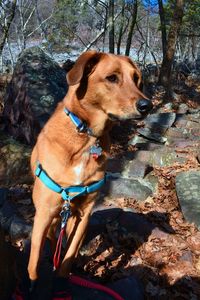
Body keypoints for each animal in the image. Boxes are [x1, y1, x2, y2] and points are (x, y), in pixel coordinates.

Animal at [27, 51, 152, 284]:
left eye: (137, 79)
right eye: (112, 78)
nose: (147, 106)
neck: (86, 137)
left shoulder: (84, 214)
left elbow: (68, 256)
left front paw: (63, 276)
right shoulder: (44, 213)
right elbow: (33, 263)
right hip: (52, 217)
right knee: (52, 237)